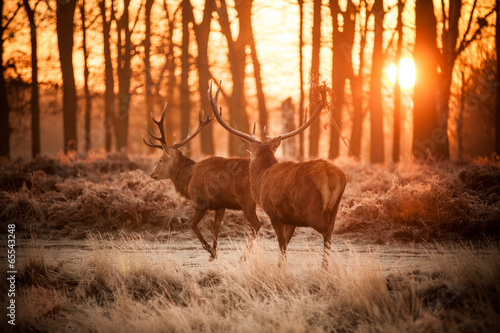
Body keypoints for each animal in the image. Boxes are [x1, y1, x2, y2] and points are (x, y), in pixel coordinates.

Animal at [143, 103, 262, 260]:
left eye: (161, 159)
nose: (152, 174)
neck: (188, 180)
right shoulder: (220, 205)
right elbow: (216, 228)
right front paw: (214, 254)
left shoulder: (201, 201)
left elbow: (193, 225)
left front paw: (210, 250)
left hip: (247, 199)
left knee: (256, 224)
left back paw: (244, 256)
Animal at [209, 80, 346, 268]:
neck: (261, 178)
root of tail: (333, 175)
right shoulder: (290, 219)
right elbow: (285, 244)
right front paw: (281, 266)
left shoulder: (273, 211)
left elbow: (281, 244)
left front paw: (280, 268)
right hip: (335, 207)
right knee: (331, 231)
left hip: (310, 208)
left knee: (326, 232)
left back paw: (323, 268)